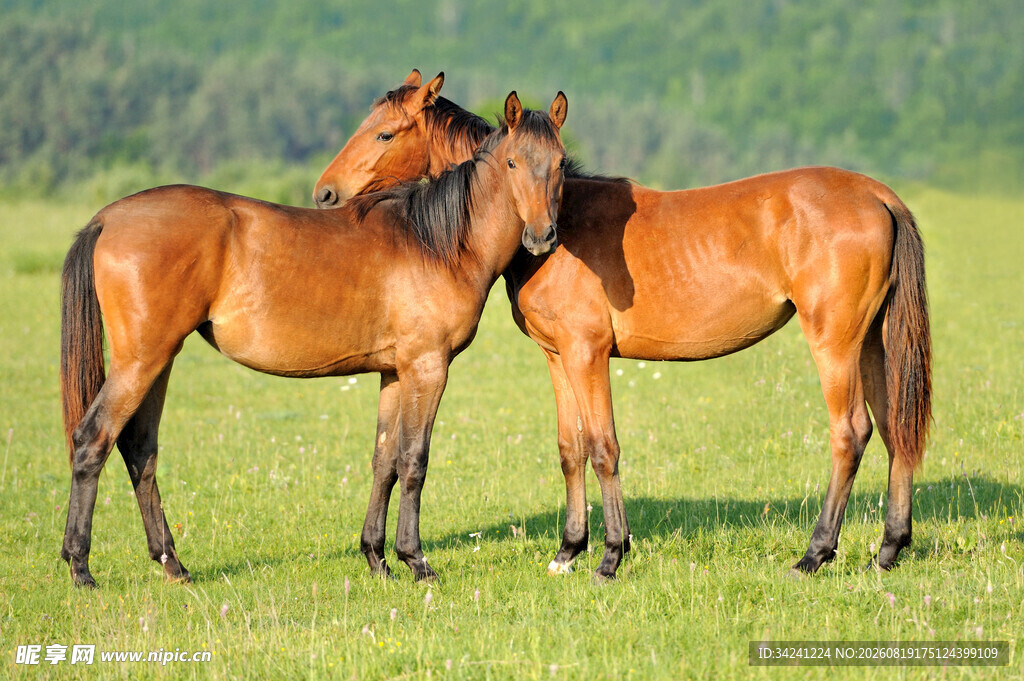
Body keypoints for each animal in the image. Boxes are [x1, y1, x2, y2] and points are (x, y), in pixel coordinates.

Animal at [59, 91, 568, 587]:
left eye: (561, 163)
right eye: (512, 163)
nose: (542, 236)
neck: (437, 242)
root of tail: (108, 218)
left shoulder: (394, 373)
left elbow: (385, 462)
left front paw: (377, 560)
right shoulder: (427, 367)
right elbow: (414, 461)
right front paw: (416, 561)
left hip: (159, 361)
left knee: (140, 449)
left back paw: (172, 565)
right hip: (140, 362)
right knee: (93, 439)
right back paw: (80, 567)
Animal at [313, 70, 932, 581]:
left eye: (384, 134)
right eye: (515, 164)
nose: (324, 193)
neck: (561, 225)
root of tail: (878, 194)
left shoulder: (587, 353)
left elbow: (603, 446)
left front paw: (610, 556)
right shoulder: (558, 356)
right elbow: (571, 448)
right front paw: (568, 551)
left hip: (835, 343)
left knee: (850, 433)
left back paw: (814, 554)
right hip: (873, 344)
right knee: (896, 430)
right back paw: (887, 551)